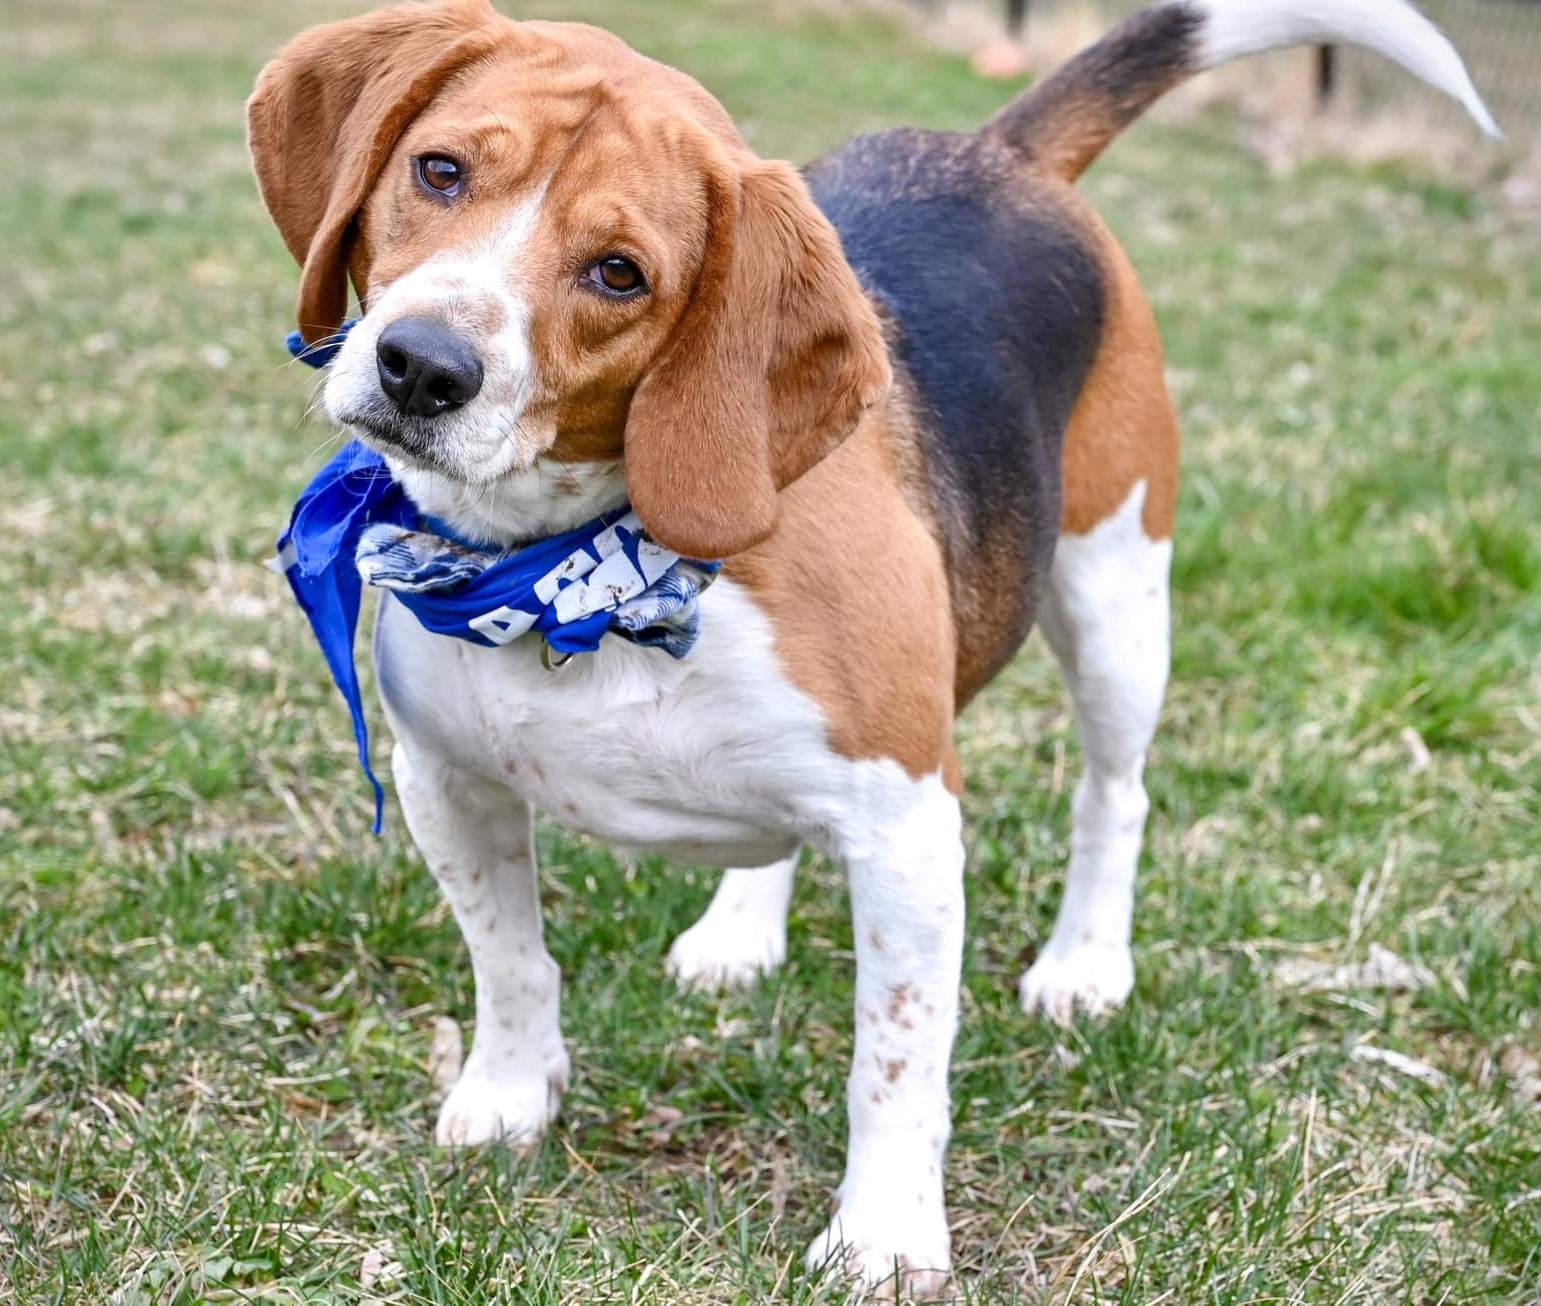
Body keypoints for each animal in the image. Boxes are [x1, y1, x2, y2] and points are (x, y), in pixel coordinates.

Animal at [249, 2, 1491, 1293]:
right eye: (439, 170)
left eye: (617, 274)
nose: (422, 366)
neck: (576, 573)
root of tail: (998, 151)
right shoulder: (447, 781)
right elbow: (509, 959)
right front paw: (506, 1097)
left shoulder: (907, 829)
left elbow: (892, 1063)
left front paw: (884, 1235)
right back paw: (739, 929)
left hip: (1114, 594)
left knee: (1115, 793)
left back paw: (1084, 963)